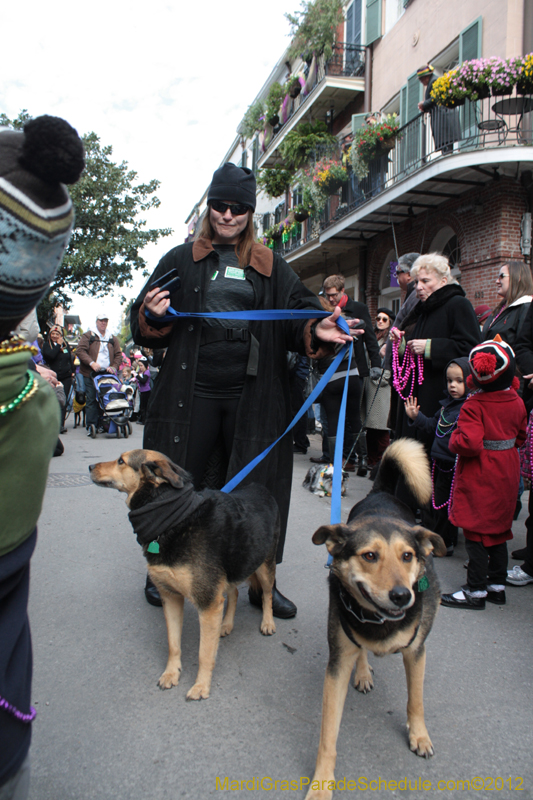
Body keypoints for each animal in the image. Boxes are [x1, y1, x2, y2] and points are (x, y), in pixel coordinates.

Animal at [88, 450, 278, 700]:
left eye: (121, 461)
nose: (90, 467)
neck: (174, 520)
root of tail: (261, 489)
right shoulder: (171, 597)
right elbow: (173, 644)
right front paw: (171, 673)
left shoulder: (208, 604)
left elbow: (204, 653)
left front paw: (201, 686)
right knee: (235, 592)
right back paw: (226, 624)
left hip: (264, 566)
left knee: (267, 594)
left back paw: (267, 622)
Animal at [304, 438, 444, 800]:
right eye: (369, 556)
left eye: (407, 556)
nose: (402, 596)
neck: (381, 623)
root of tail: (380, 493)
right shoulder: (338, 663)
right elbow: (328, 733)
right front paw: (322, 783)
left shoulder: (417, 652)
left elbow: (416, 700)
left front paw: (419, 735)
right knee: (362, 651)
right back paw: (364, 671)